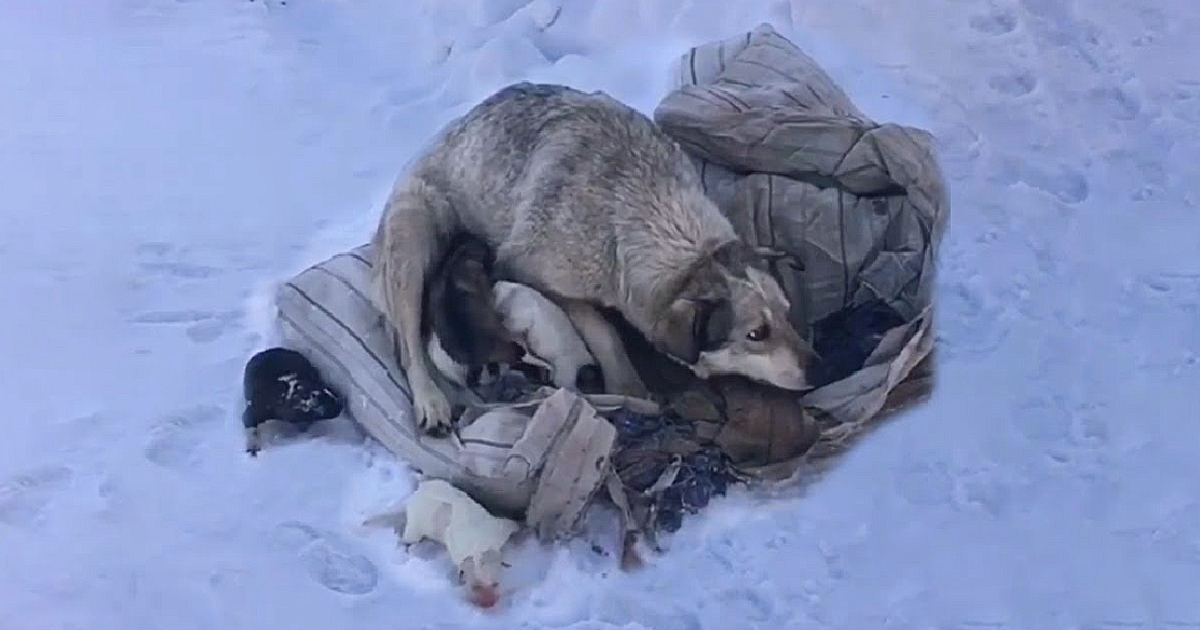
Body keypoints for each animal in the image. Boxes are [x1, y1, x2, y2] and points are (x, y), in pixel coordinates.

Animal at [367, 82, 816, 432]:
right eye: (756, 334)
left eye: (787, 312)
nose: (819, 366)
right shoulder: (525, 267)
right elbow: (602, 329)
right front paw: (628, 386)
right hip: (411, 234)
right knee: (408, 345)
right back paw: (431, 401)